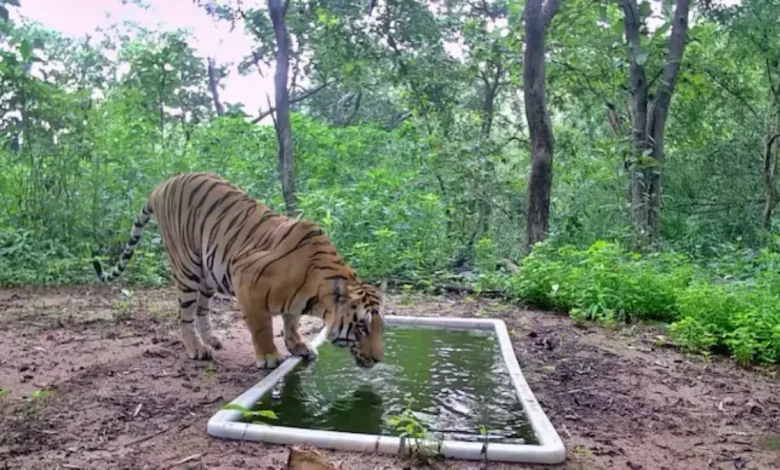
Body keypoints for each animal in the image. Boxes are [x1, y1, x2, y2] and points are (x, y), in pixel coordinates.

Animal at [93, 172, 386, 370]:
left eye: (380, 325)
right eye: (361, 327)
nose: (379, 359)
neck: (314, 292)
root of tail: (162, 185)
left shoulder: (292, 303)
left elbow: (291, 323)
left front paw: (299, 348)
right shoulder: (246, 278)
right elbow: (262, 327)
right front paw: (268, 357)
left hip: (208, 273)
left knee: (202, 308)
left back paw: (211, 340)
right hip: (187, 267)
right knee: (184, 315)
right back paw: (197, 348)